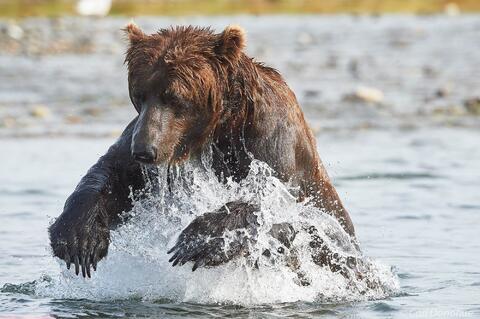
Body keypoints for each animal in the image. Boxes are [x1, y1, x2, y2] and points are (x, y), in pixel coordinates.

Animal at [48, 24, 356, 280]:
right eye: (139, 93)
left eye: (174, 97)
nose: (145, 151)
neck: (219, 128)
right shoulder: (145, 137)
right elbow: (114, 174)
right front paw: (79, 238)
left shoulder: (273, 140)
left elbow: (275, 197)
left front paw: (197, 241)